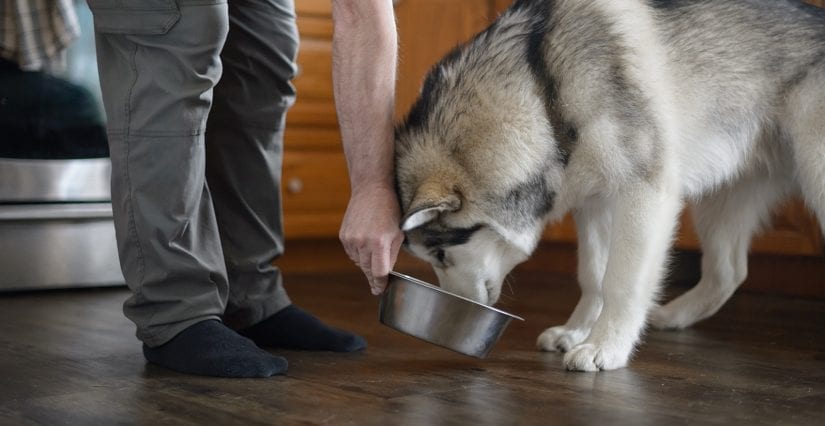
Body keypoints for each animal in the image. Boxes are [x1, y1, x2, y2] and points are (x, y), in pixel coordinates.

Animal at [392, 0, 824, 372]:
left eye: (441, 255)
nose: (457, 310)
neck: (545, 91)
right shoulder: (595, 202)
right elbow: (594, 276)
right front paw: (577, 332)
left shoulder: (644, 194)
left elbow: (622, 282)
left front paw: (606, 346)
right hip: (721, 204)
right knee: (729, 271)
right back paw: (671, 316)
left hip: (814, 178)